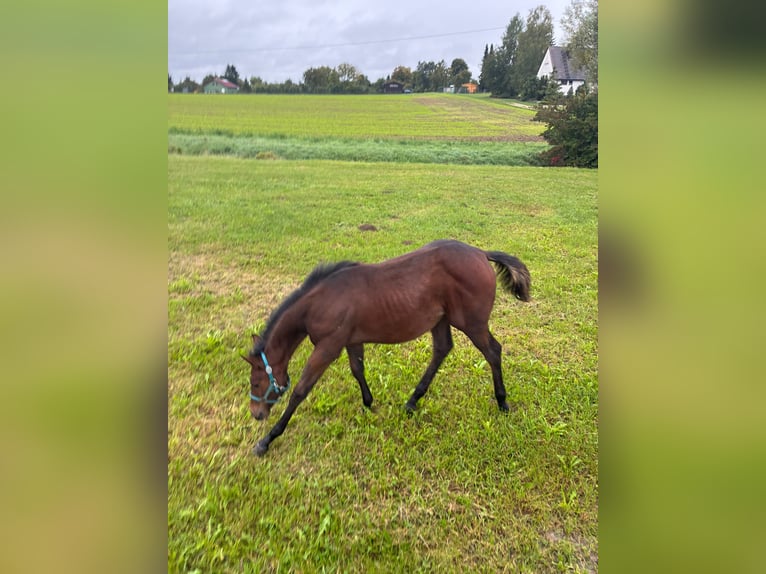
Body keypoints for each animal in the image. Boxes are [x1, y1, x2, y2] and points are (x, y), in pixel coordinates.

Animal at [242, 239, 531, 456]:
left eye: (255, 382)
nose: (256, 414)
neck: (321, 302)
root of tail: (481, 253)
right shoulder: (351, 341)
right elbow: (357, 369)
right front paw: (369, 403)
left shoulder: (327, 347)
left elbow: (301, 390)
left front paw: (266, 441)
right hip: (440, 319)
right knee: (442, 349)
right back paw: (413, 400)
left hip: (472, 323)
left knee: (493, 351)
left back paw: (502, 402)